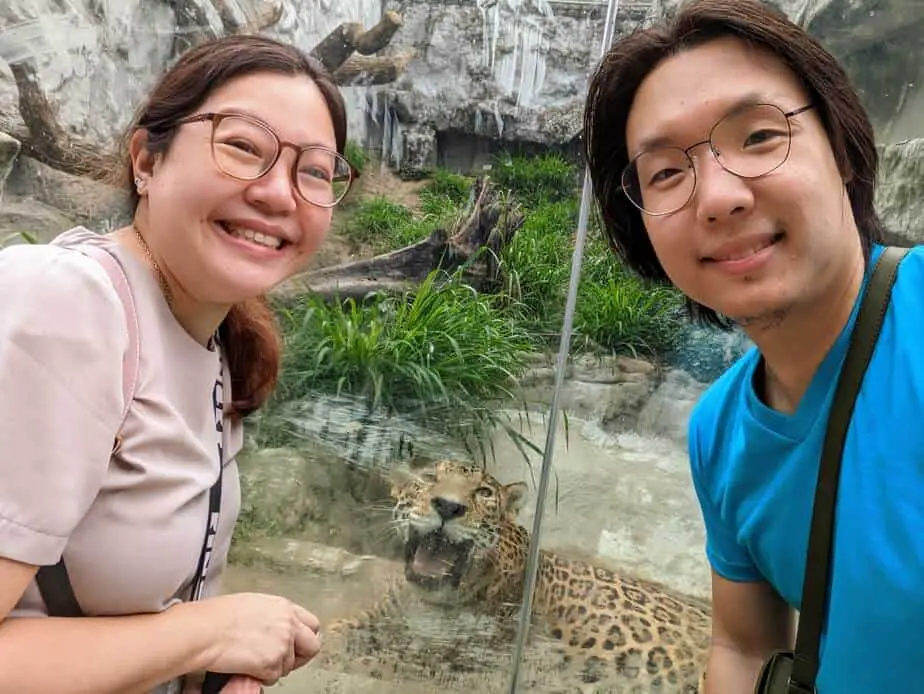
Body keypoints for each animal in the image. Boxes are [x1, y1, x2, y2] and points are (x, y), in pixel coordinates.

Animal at [314, 460, 712, 692]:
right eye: (429, 479)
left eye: (484, 492)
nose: (448, 507)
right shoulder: (376, 619)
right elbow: (333, 632)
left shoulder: (446, 664)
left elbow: (374, 662)